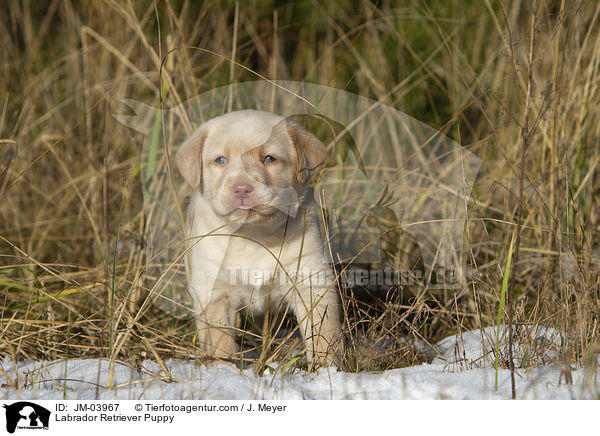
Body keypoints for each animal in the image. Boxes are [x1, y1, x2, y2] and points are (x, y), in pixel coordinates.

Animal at [176, 110, 340, 368]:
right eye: (220, 160)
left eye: (269, 158)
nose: (242, 188)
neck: (253, 235)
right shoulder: (213, 290)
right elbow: (219, 339)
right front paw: (222, 368)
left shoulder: (311, 279)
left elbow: (324, 333)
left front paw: (327, 369)